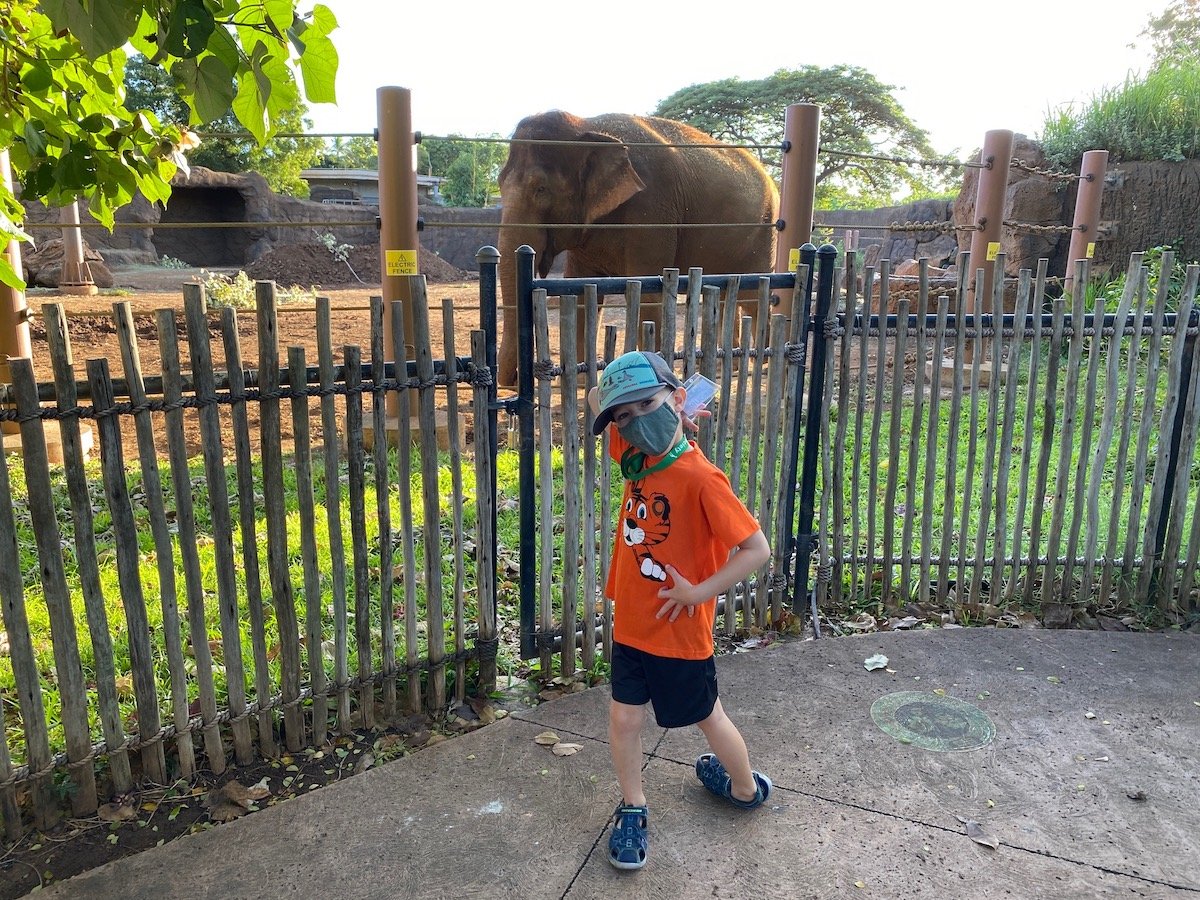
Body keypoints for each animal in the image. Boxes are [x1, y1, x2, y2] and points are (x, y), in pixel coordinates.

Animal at [494, 111, 777, 386]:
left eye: (540, 189)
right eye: (499, 184)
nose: (516, 378)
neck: (587, 126)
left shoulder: (653, 209)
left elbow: (649, 292)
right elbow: (581, 290)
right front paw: (584, 382)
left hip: (765, 229)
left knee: (751, 296)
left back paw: (759, 362)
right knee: (726, 292)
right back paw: (725, 365)